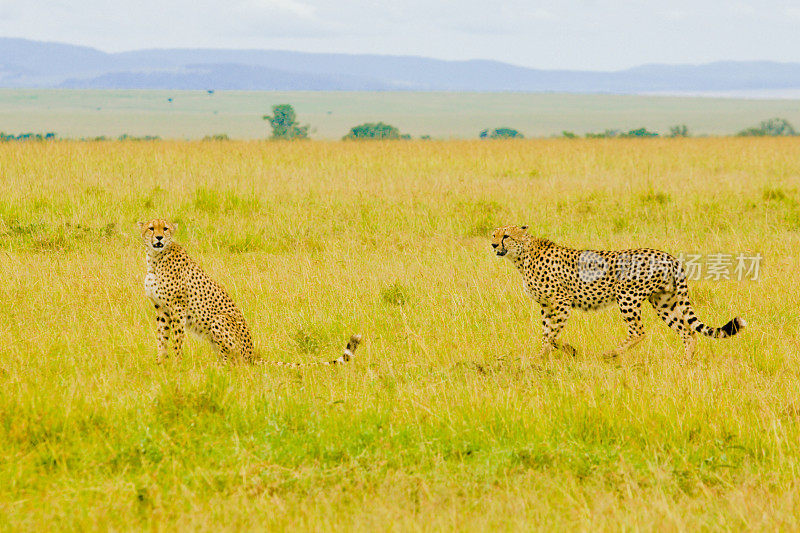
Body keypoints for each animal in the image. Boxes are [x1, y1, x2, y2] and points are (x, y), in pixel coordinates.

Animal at [139, 218, 360, 364]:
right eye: (151, 228)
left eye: (165, 228)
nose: (158, 237)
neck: (156, 258)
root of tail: (252, 354)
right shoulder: (161, 309)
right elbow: (161, 338)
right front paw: (161, 363)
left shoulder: (177, 307)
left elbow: (177, 338)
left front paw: (177, 364)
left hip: (219, 320)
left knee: (235, 363)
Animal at [490, 224, 748, 358]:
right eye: (494, 234)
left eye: (506, 236)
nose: (493, 244)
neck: (523, 255)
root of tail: (669, 256)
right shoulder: (546, 306)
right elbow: (547, 332)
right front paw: (556, 352)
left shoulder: (561, 303)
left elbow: (551, 334)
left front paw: (547, 355)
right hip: (663, 301)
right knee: (688, 332)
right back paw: (686, 364)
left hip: (628, 296)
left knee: (639, 331)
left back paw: (611, 354)